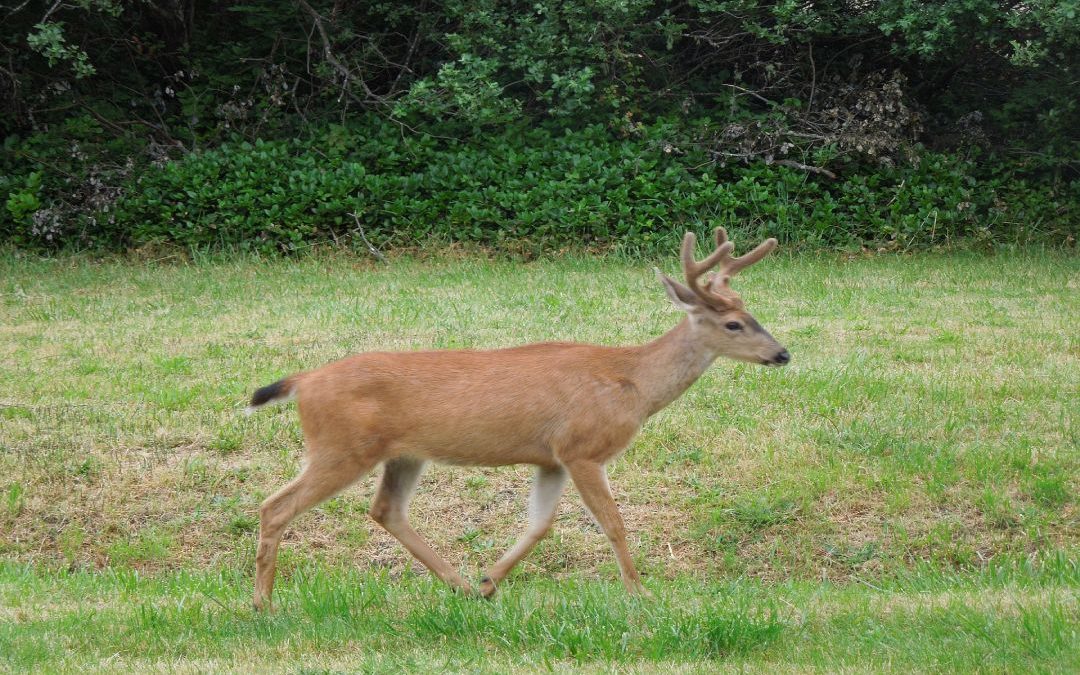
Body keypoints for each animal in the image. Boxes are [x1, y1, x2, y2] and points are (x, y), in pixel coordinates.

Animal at [245, 227, 790, 609]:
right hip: (341, 445)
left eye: (753, 315)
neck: (632, 382)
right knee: (275, 506)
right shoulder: (582, 446)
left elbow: (539, 525)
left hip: (402, 454)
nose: (782, 354)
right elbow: (613, 523)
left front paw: (490, 581)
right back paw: (264, 605)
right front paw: (641, 595)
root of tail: (304, 380)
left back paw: (461, 587)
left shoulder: (551, 458)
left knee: (386, 510)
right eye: (733, 324)